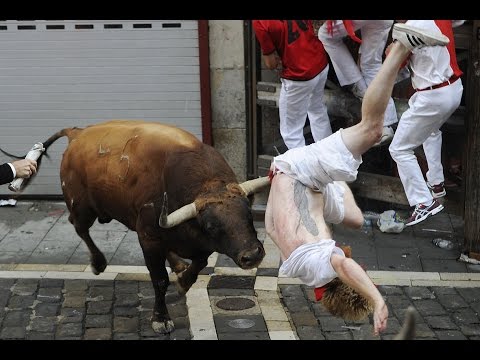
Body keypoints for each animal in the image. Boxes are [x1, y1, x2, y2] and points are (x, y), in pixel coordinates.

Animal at [32, 120, 268, 332]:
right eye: (210, 226)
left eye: (248, 214)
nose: (253, 255)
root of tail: (77, 133)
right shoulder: (149, 237)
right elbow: (160, 279)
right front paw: (161, 318)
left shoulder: (198, 243)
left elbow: (200, 262)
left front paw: (183, 280)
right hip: (81, 207)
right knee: (79, 227)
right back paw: (98, 263)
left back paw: (178, 264)